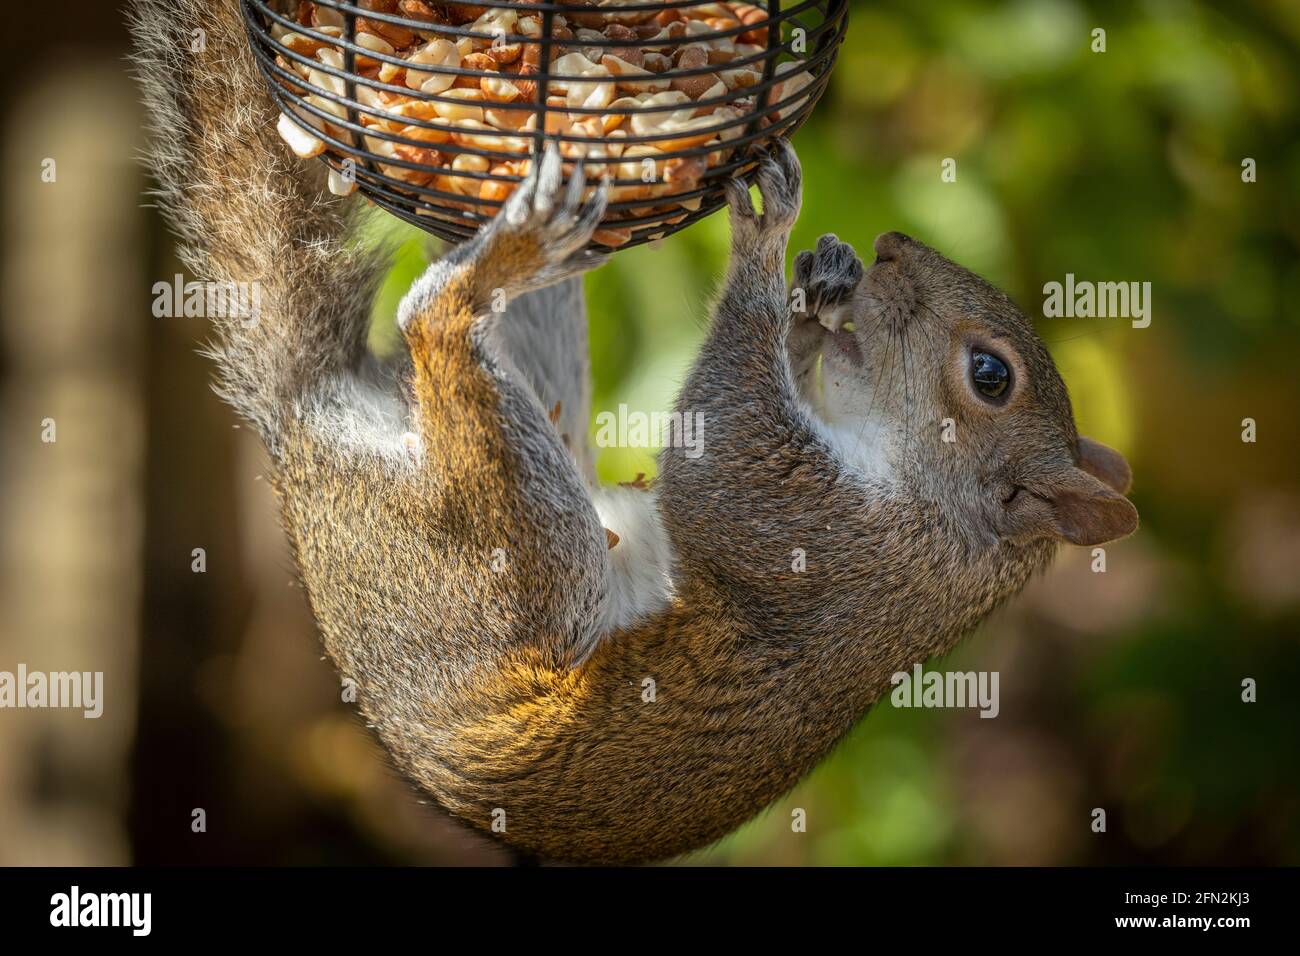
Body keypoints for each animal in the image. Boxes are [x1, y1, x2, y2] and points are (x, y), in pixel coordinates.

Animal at [130, 0, 1138, 865]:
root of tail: (301, 432)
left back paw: (496, 260)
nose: (889, 247)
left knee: (434, 325)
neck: (952, 533)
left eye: (990, 377)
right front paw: (813, 292)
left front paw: (767, 239)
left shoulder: (830, 542)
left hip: (502, 560)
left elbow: (715, 454)